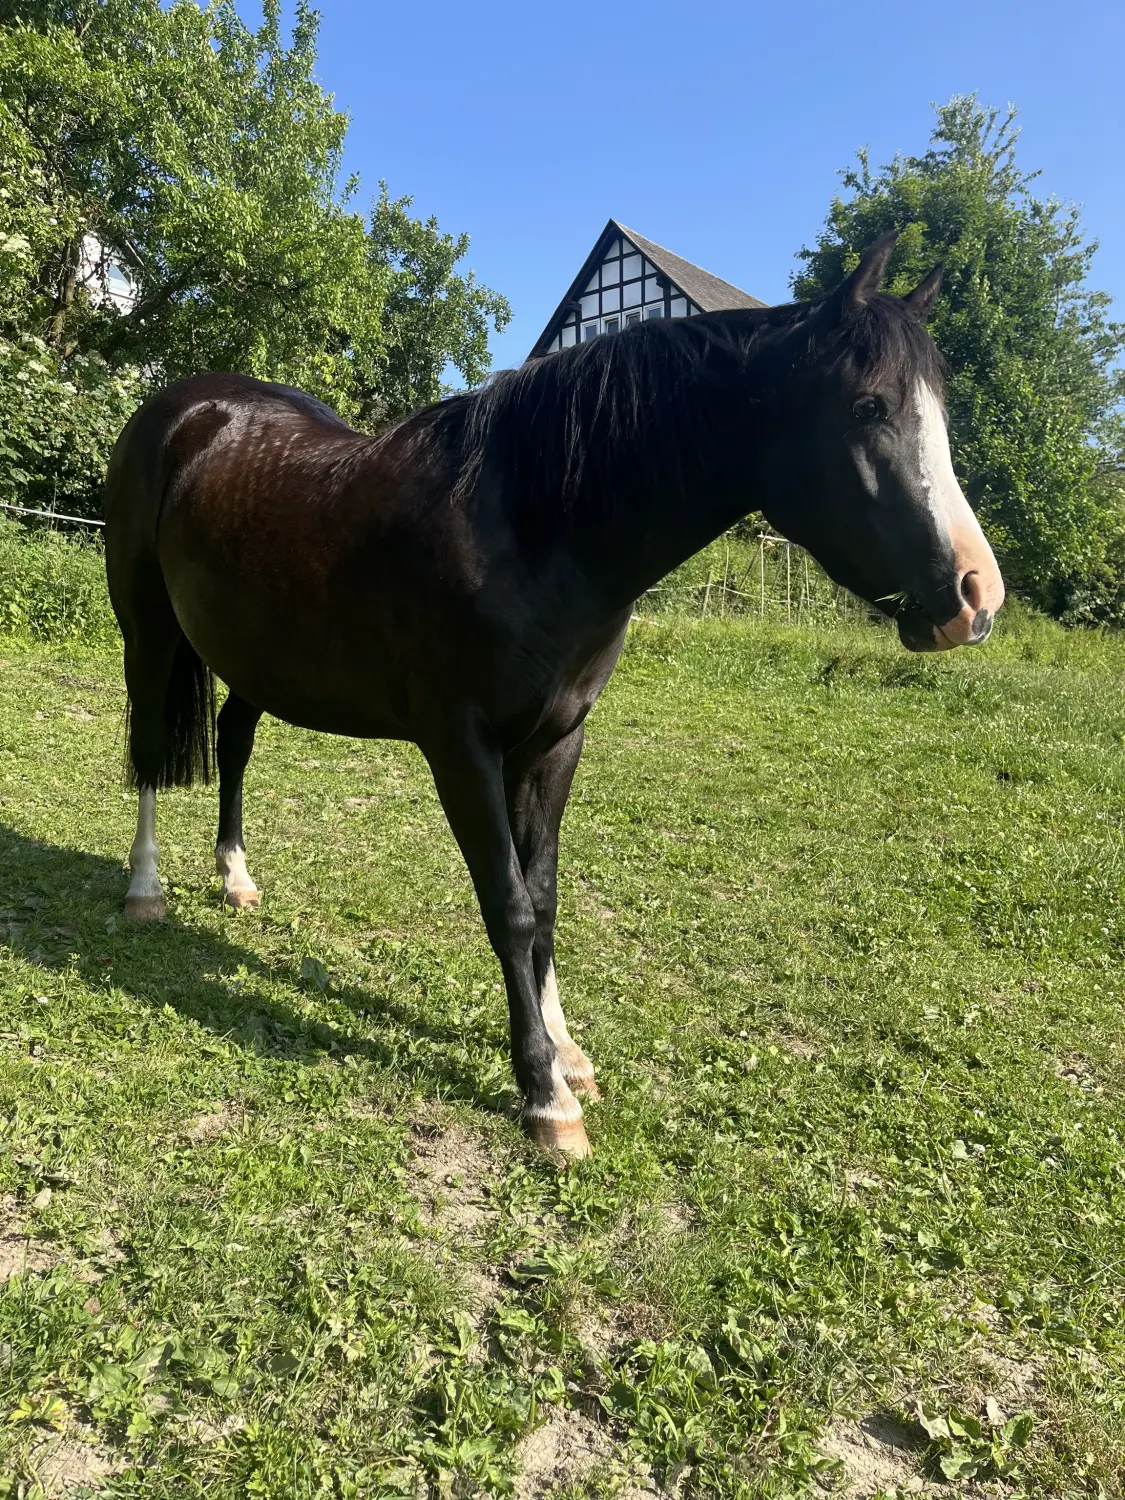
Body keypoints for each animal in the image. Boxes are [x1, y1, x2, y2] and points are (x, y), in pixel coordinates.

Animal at [103, 233, 1003, 1158]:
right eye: (869, 405)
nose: (976, 597)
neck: (530, 526)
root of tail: (188, 405)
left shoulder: (555, 741)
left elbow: (544, 898)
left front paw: (567, 1053)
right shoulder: (460, 747)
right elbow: (507, 904)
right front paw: (544, 1097)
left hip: (255, 657)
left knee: (234, 740)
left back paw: (235, 878)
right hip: (147, 629)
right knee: (148, 751)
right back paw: (146, 890)